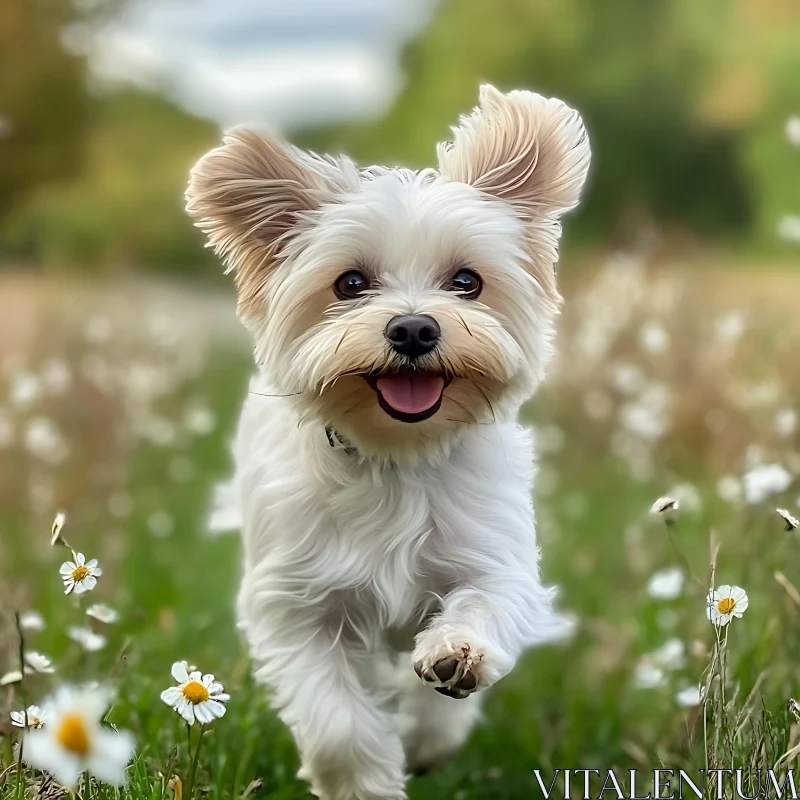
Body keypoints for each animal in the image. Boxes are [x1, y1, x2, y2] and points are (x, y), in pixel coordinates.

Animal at [186, 86, 588, 800]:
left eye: (466, 281)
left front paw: (446, 686)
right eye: (350, 284)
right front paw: (365, 782)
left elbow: (481, 611)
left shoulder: (495, 558)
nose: (413, 328)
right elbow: (338, 723)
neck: (400, 456)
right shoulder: (297, 607)